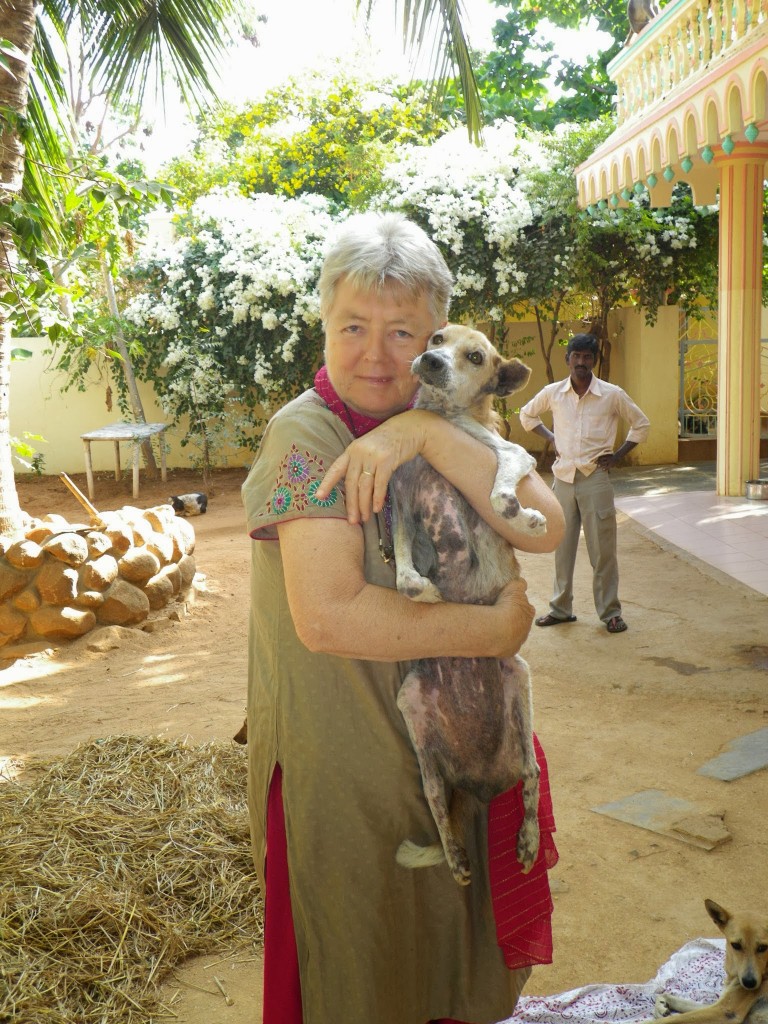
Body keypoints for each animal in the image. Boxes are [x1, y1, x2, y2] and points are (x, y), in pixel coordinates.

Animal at [391, 327, 548, 888]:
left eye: (476, 356)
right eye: (436, 337)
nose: (430, 359)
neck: (444, 418)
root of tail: (480, 785)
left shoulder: (511, 453)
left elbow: (502, 483)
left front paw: (521, 515)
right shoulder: (400, 502)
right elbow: (403, 573)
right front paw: (422, 588)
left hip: (519, 677)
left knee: (531, 774)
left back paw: (527, 842)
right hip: (412, 706)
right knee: (436, 795)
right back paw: (457, 859)